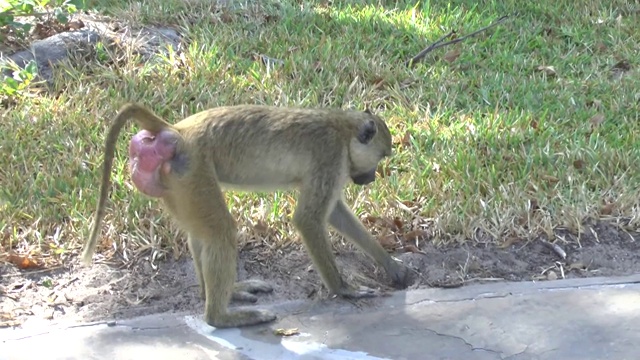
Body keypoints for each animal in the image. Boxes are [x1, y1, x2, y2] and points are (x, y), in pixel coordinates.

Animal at [82, 103, 410, 330]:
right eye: (382, 156)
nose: (371, 178)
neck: (343, 130)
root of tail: (179, 132)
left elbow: (335, 215)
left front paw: (391, 265)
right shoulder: (329, 156)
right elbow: (308, 219)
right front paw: (345, 289)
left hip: (176, 181)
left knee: (201, 234)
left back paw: (217, 293)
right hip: (193, 170)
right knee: (221, 231)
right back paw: (220, 317)